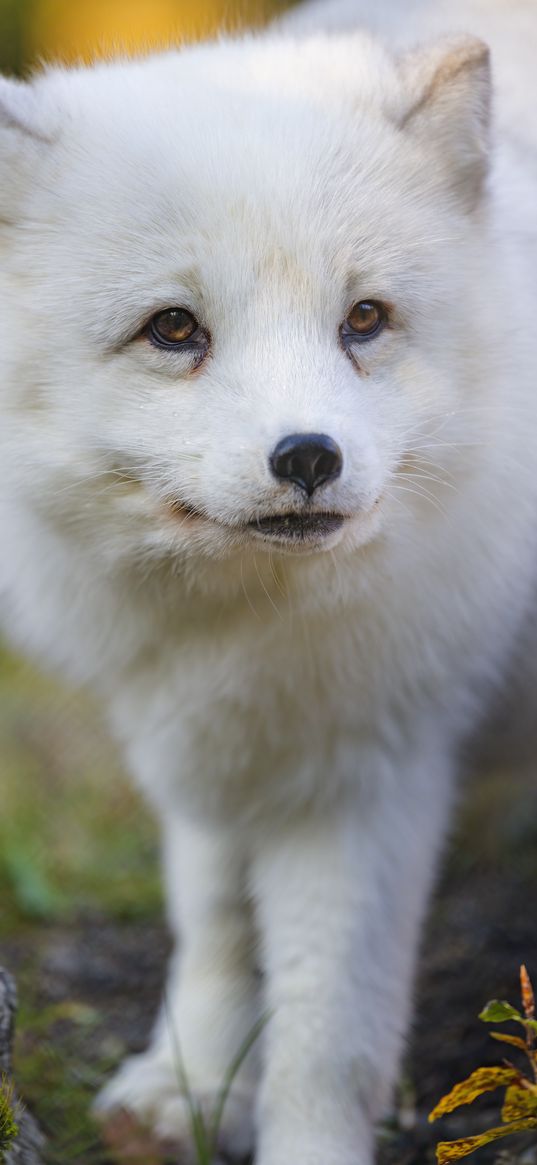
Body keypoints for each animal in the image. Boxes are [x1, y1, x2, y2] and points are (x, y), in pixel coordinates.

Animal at [1, 0, 535, 1160]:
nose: (308, 458)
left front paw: (300, 1135)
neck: (251, 625)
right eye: (174, 328)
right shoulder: (203, 735)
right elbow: (211, 919)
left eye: (365, 319)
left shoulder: (372, 772)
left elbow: (327, 1024)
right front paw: (196, 1080)